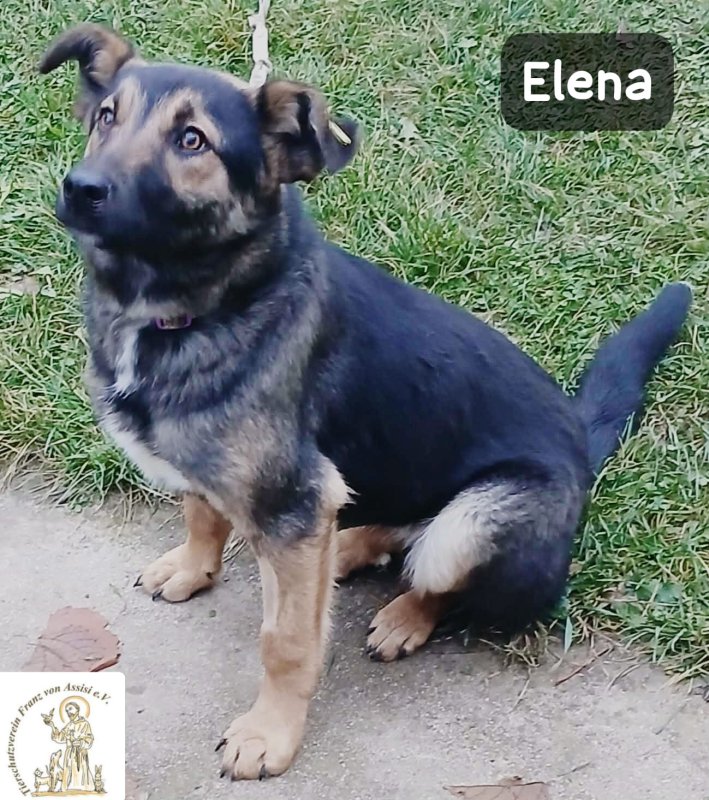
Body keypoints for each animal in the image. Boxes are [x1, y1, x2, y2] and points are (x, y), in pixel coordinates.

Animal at [39, 23, 691, 781]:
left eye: (192, 140)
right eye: (106, 117)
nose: (79, 189)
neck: (203, 305)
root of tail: (581, 446)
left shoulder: (291, 499)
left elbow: (285, 640)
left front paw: (269, 733)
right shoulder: (250, 479)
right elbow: (203, 510)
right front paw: (193, 567)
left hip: (476, 523)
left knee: (441, 573)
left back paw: (405, 616)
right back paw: (353, 546)